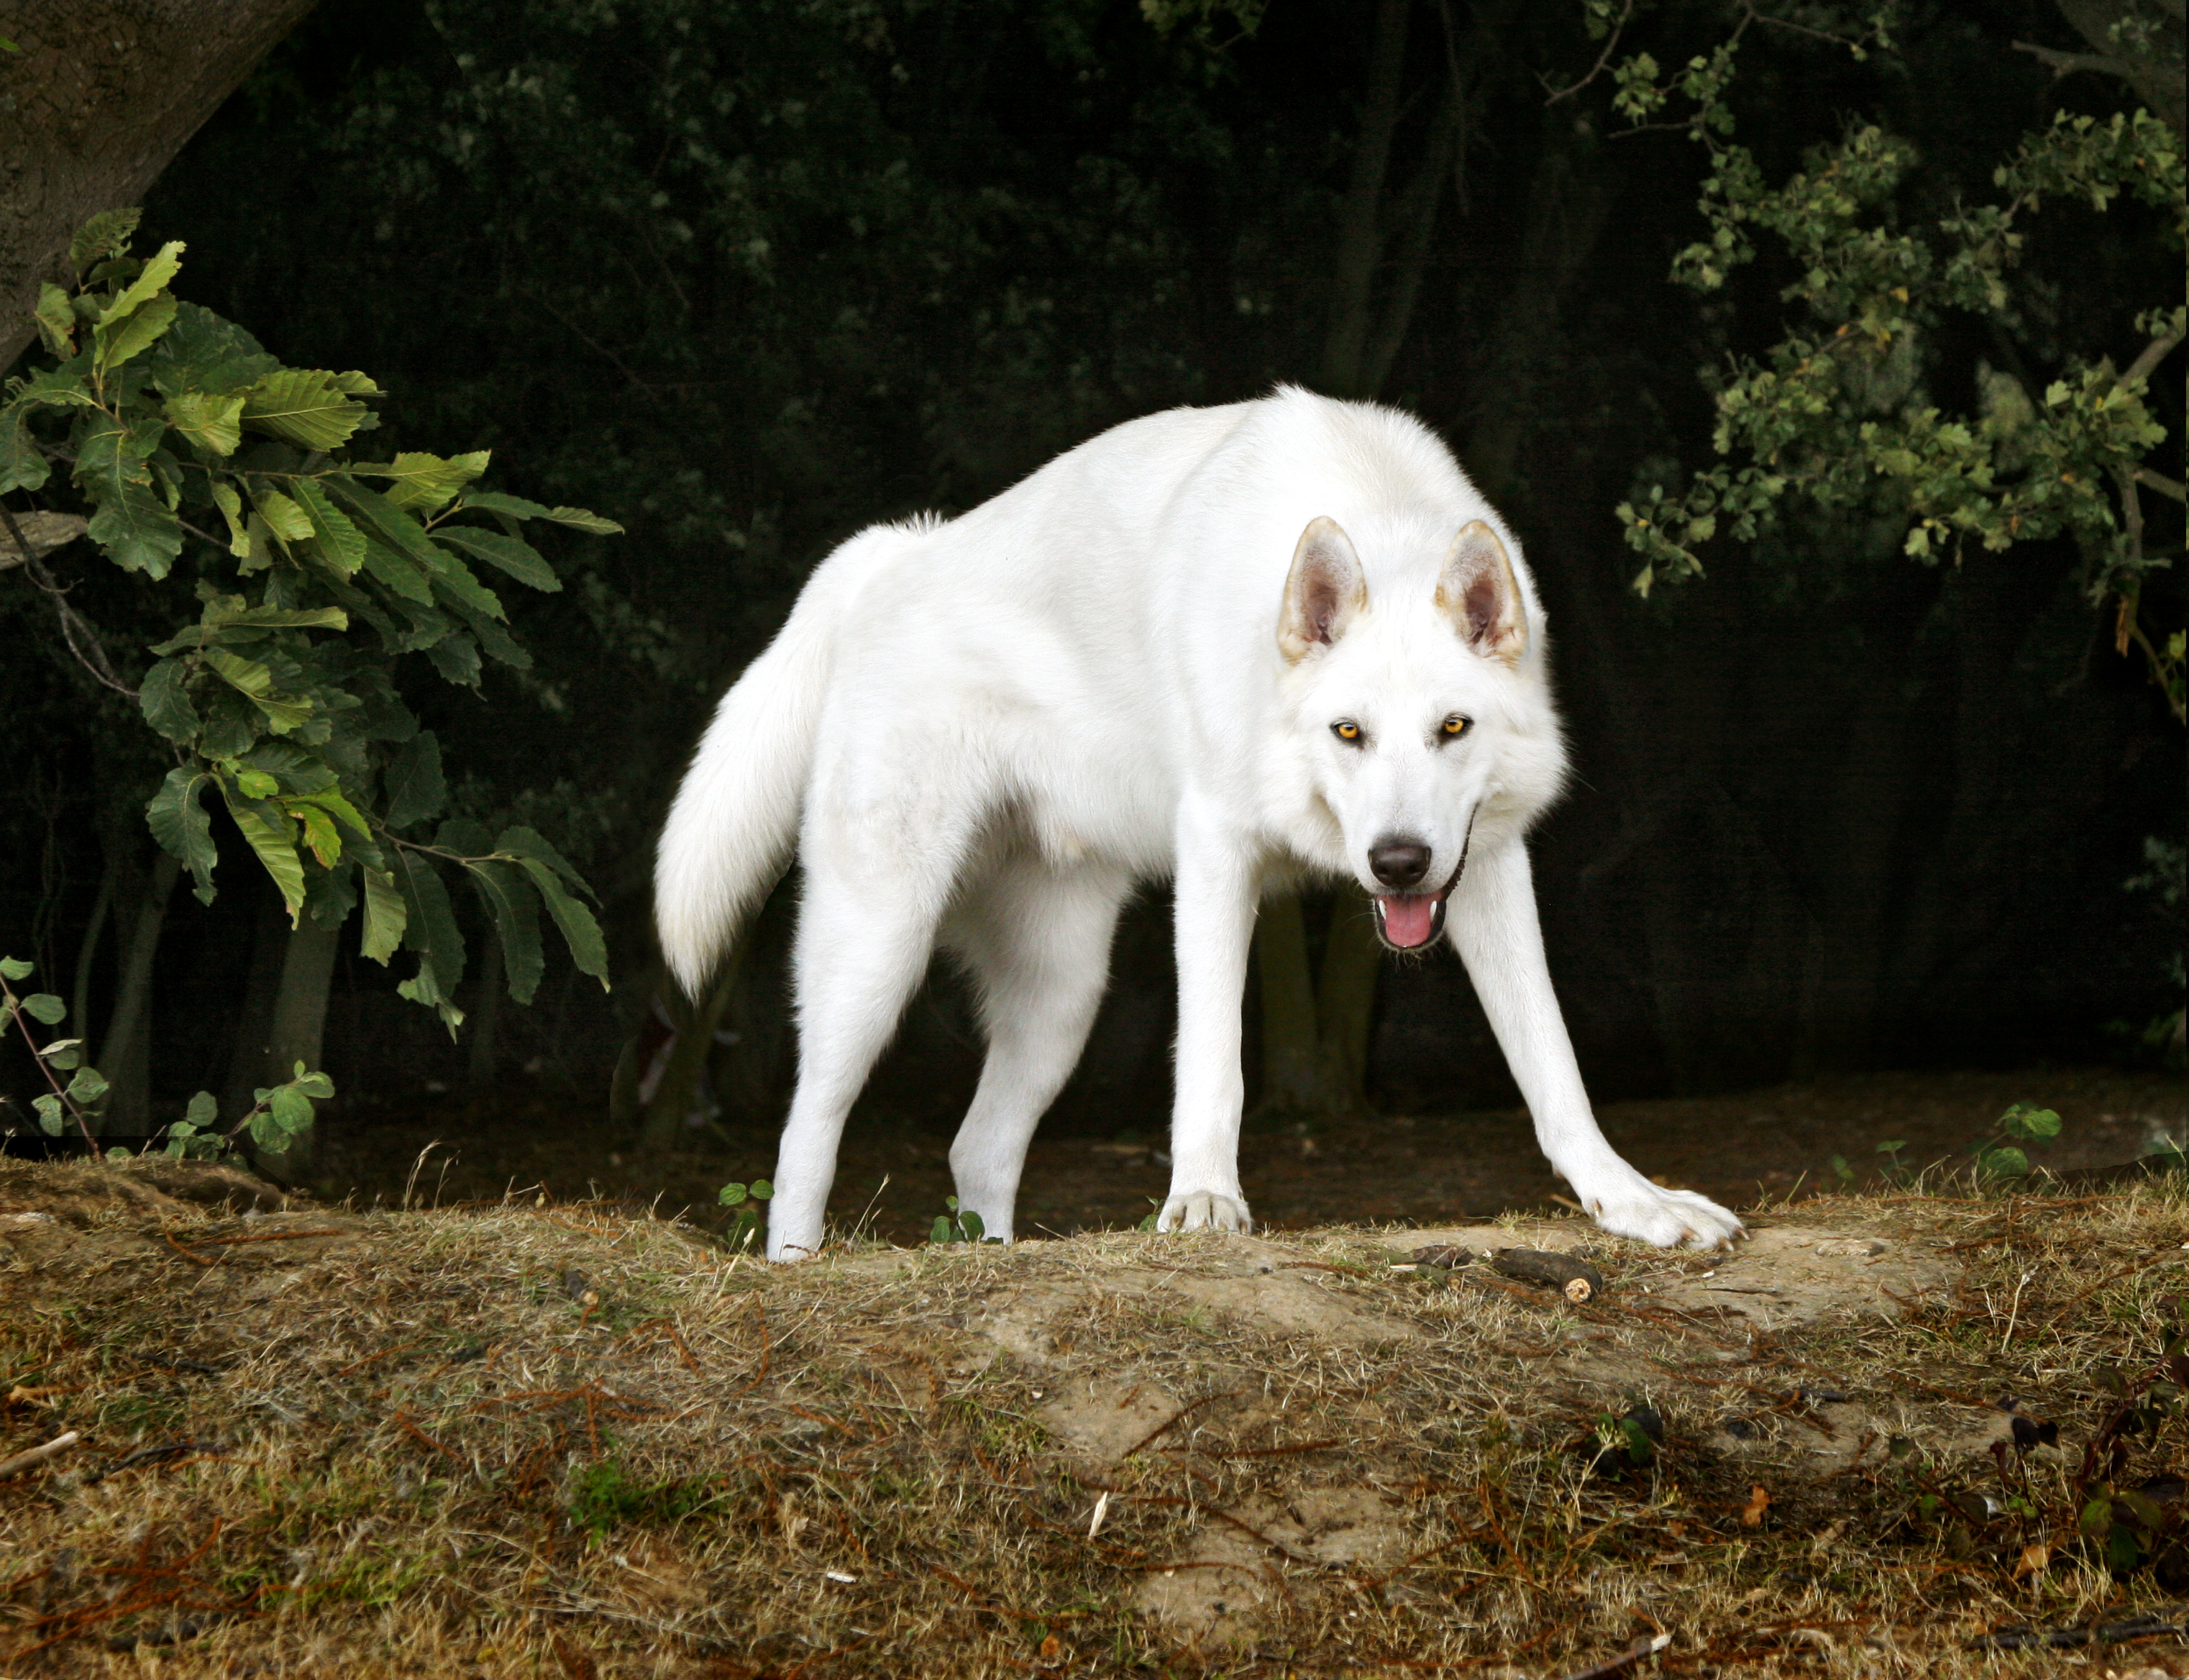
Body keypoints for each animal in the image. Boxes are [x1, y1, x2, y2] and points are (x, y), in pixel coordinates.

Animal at [648, 388, 1742, 1253]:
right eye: (1348, 732)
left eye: (1452, 727)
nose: (1395, 863)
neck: (1373, 512)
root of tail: (889, 556)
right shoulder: (1218, 851)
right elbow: (1214, 1063)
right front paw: (1206, 1204)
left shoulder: (1489, 863)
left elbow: (1553, 1064)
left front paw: (1632, 1203)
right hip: (876, 957)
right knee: (804, 1136)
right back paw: (797, 1264)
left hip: (1061, 999)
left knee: (976, 1148)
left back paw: (992, 1257)